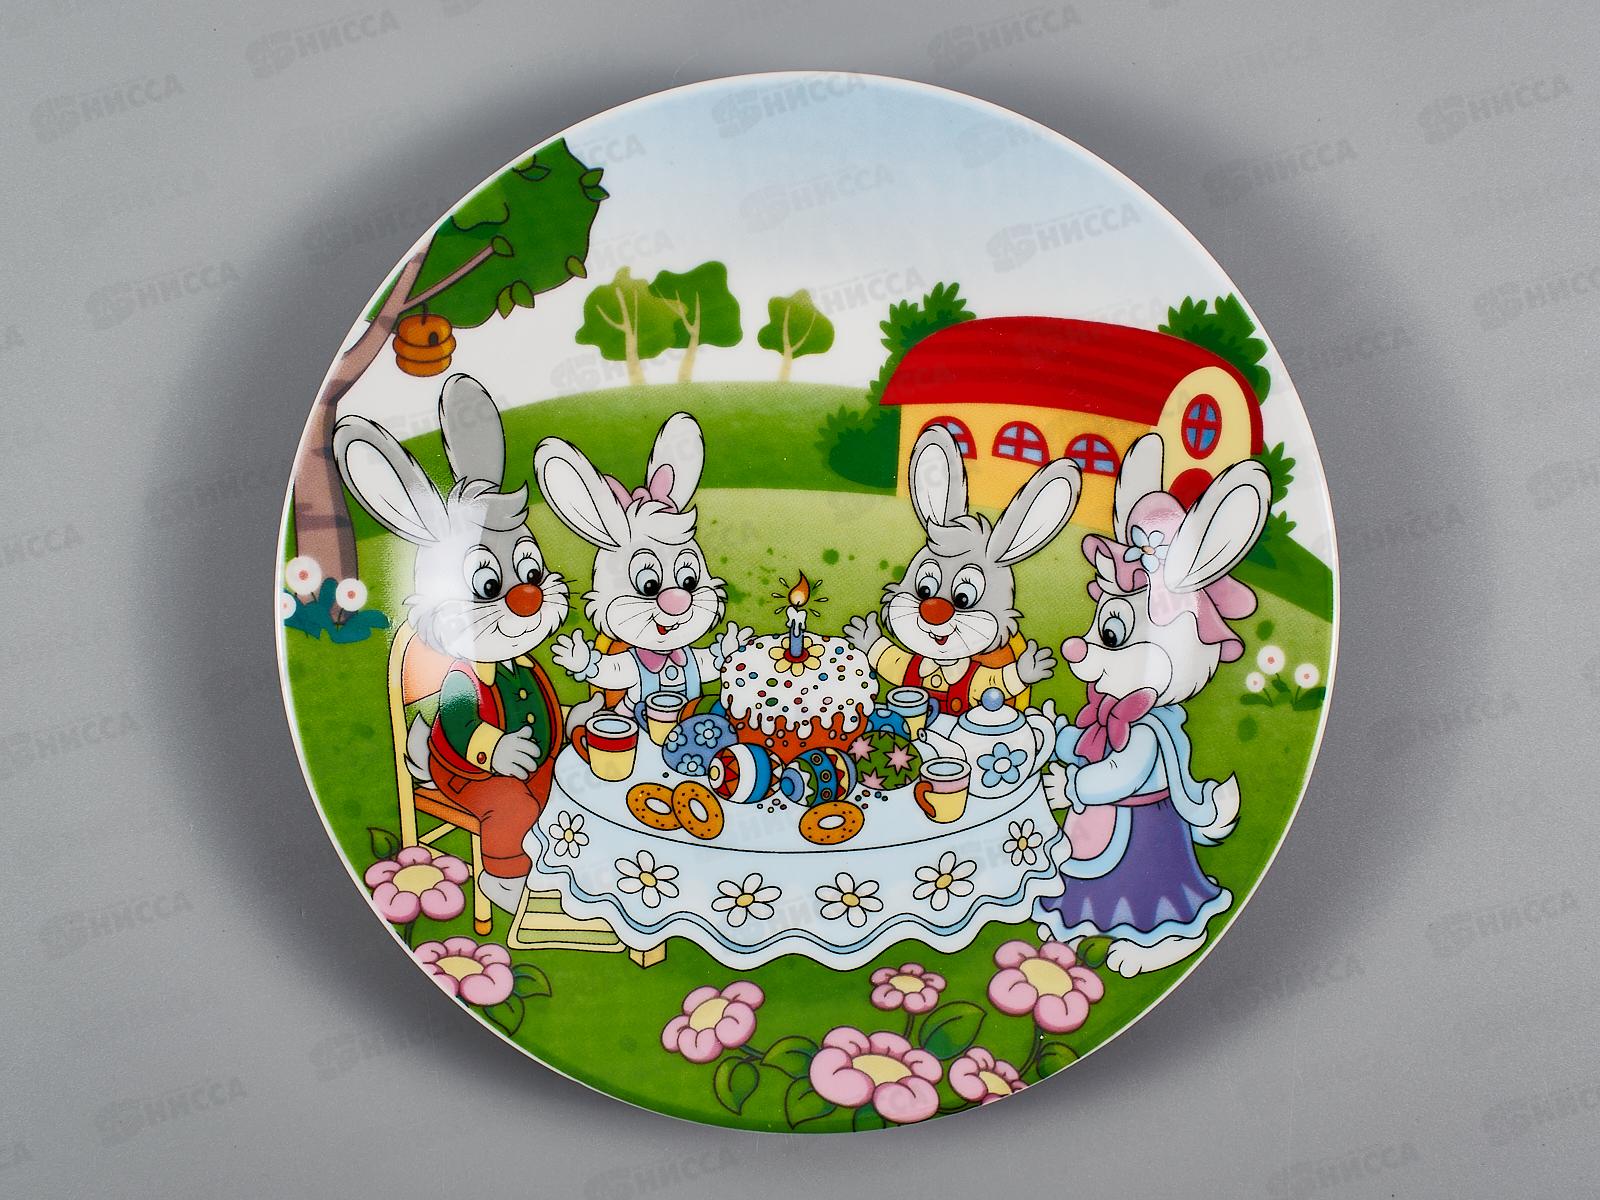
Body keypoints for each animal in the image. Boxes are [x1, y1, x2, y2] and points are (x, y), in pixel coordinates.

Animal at [333, 373, 573, 911]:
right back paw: (501, 890)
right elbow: (466, 725)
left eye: (532, 570)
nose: (528, 599)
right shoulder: (457, 685)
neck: (504, 665)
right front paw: (510, 751)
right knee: (510, 817)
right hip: (469, 792)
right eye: (487, 585)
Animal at [535, 412, 750, 727]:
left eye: (689, 580)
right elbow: (611, 672)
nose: (678, 601)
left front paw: (729, 644)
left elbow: (708, 662)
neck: (666, 656)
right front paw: (577, 656)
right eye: (649, 585)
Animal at [843, 423, 1082, 715]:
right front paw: (866, 635)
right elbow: (893, 659)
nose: (932, 610)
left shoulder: (977, 679)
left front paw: (1030, 667)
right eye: (924, 589)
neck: (941, 667)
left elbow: (994, 681)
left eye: (963, 598)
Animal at [1035, 432, 1270, 977]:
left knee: (1178, 922)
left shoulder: (1139, 735)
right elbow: (1077, 739)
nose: (1072, 650)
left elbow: (1111, 773)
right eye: (1095, 616)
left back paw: (1139, 954)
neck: (1132, 707)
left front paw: (1066, 783)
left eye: (1111, 632)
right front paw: (1054, 734)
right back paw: (1060, 941)